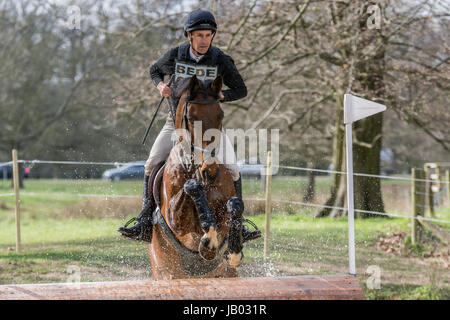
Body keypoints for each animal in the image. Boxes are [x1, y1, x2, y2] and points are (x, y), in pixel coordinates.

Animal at [149, 75, 244, 280]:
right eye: (191, 118)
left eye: (220, 115)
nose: (210, 169)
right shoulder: (176, 220)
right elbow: (190, 188)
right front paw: (209, 242)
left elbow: (235, 206)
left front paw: (233, 253)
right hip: (164, 272)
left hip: (227, 274)